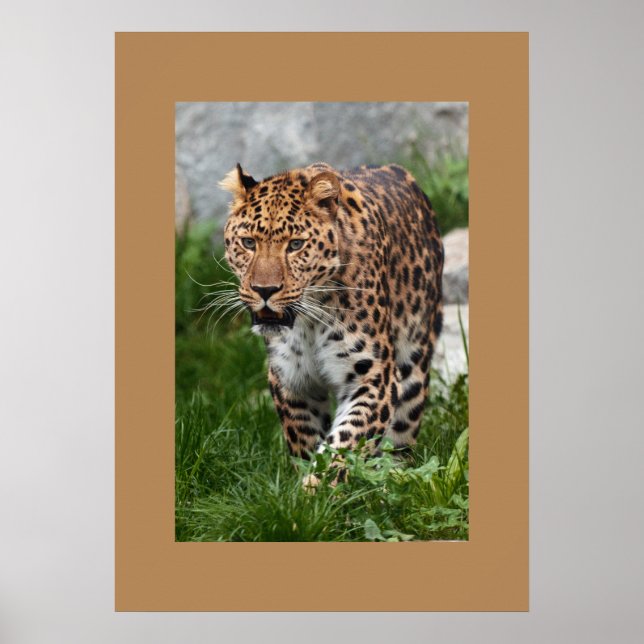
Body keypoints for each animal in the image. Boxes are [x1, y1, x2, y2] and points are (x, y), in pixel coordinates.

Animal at [220, 161, 443, 466]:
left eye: (295, 245)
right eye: (248, 243)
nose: (264, 290)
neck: (309, 321)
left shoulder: (375, 377)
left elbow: (346, 443)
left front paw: (321, 478)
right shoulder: (290, 378)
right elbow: (305, 439)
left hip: (414, 362)